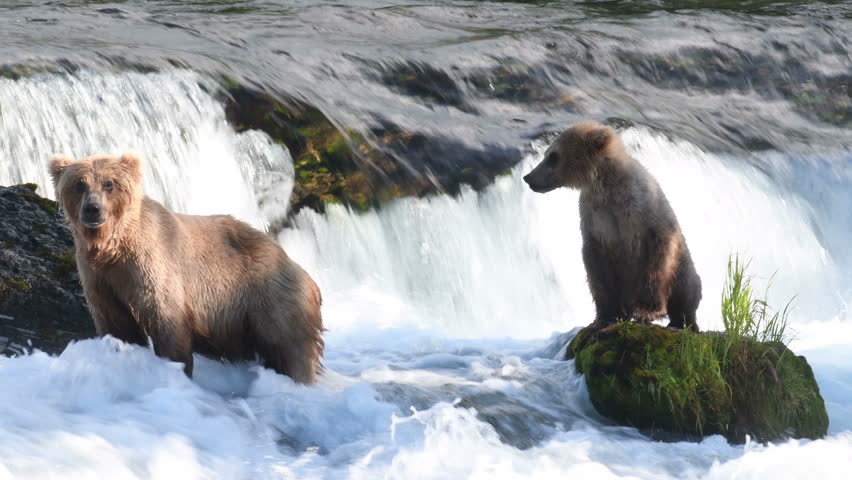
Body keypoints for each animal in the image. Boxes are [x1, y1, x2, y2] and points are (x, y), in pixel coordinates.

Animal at [48, 152, 324, 382]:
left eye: (109, 183)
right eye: (80, 184)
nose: (93, 209)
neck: (113, 246)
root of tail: (307, 275)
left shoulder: (150, 265)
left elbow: (166, 318)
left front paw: (176, 368)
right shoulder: (101, 278)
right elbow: (118, 325)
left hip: (272, 301)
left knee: (290, 350)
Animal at [523, 121, 702, 331]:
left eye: (553, 156)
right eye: (547, 154)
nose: (528, 177)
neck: (607, 188)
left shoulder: (646, 212)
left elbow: (659, 257)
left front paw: (646, 311)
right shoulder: (595, 220)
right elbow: (597, 269)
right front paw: (604, 317)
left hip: (685, 271)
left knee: (687, 293)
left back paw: (683, 322)